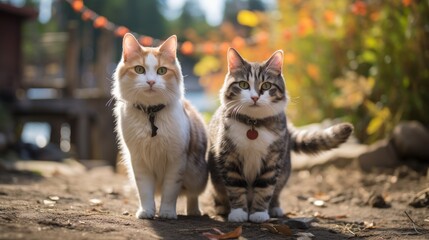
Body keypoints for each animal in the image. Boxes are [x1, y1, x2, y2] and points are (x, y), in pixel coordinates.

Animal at [112, 33, 207, 219]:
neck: (151, 112)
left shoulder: (176, 160)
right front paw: (147, 211)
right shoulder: (138, 160)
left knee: (192, 195)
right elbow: (145, 190)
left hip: (196, 176)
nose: (150, 81)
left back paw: (194, 211)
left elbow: (170, 191)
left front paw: (167, 213)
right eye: (139, 69)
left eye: (162, 71)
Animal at [207, 48, 352, 223]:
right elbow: (235, 186)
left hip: (284, 172)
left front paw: (259, 213)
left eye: (266, 85)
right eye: (243, 84)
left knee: (276, 191)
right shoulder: (229, 157)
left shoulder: (273, 158)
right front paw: (238, 213)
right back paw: (222, 207)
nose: (255, 97)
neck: (254, 123)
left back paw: (274, 208)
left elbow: (265, 187)